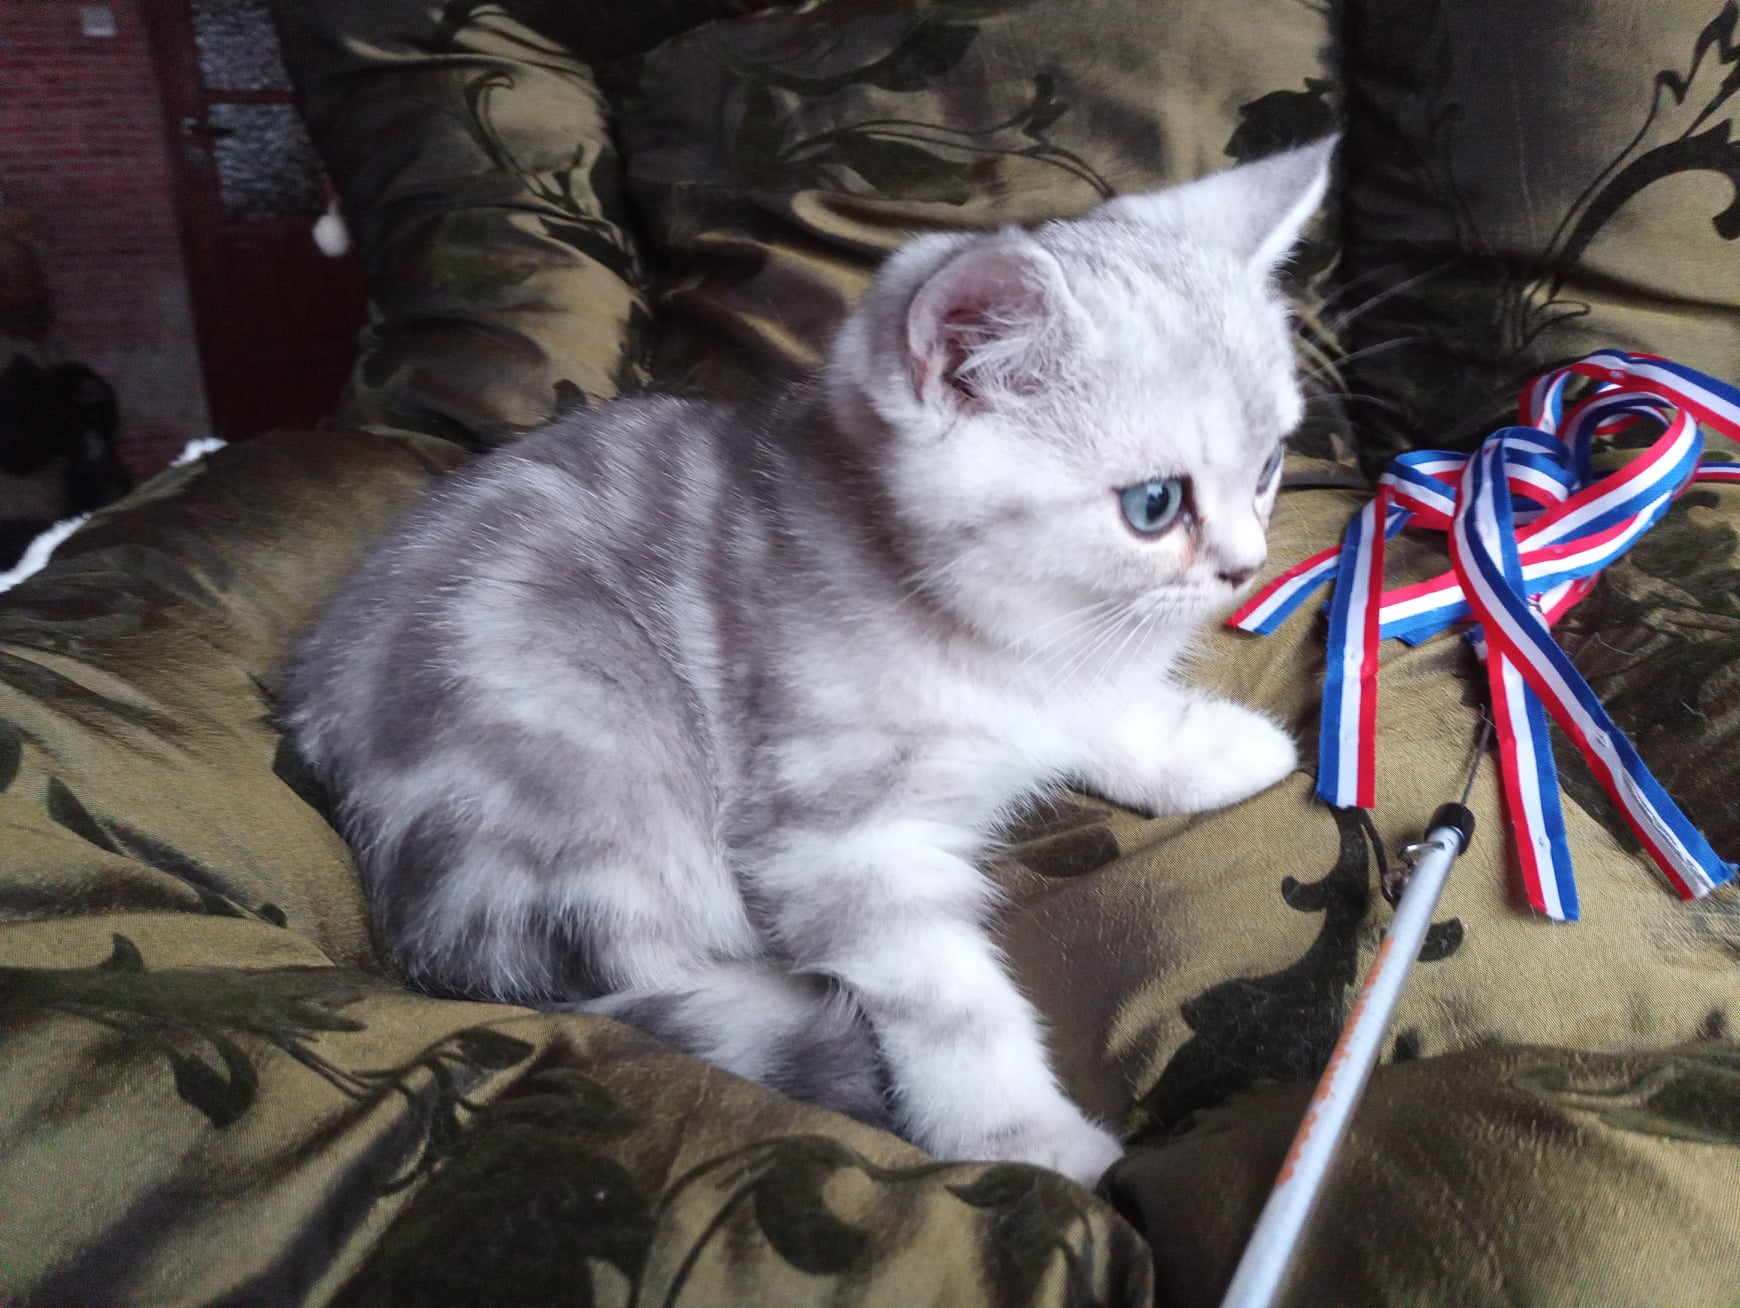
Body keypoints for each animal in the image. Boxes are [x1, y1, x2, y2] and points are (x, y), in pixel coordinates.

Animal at [280, 137, 1333, 1188]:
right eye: (1155, 505)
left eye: (1270, 469)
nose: (1246, 564)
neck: (991, 630)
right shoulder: (836, 839)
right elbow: (950, 1003)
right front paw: (1024, 1141)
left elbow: (1105, 708)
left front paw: (1210, 749)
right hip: (593, 757)